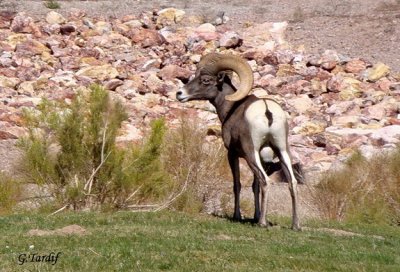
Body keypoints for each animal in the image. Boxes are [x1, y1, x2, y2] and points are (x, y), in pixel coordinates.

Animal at [176, 53, 300, 230]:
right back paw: (295, 225)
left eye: (205, 80)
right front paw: (255, 216)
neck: (231, 108)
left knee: (265, 181)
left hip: (250, 153)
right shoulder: (263, 155)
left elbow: (237, 184)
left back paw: (262, 223)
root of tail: (267, 110)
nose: (180, 93)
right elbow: (254, 187)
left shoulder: (232, 154)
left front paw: (238, 216)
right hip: (282, 150)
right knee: (292, 182)